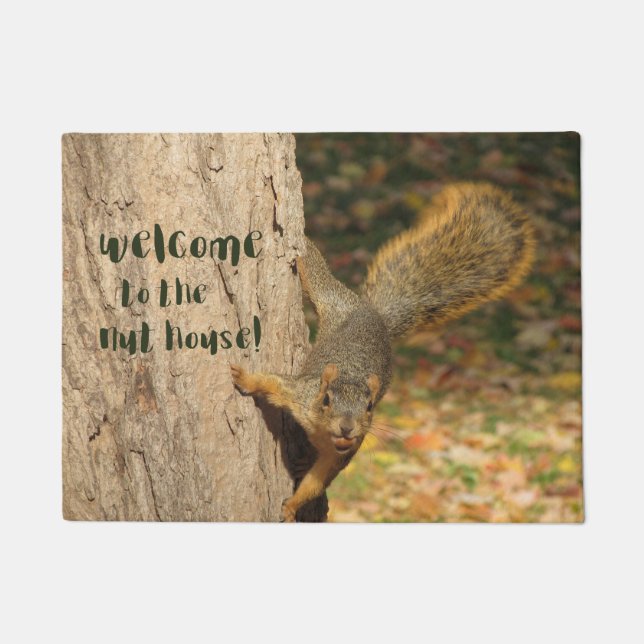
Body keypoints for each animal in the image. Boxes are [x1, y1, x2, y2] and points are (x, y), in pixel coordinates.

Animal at [231, 182, 535, 522]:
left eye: (369, 407)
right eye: (326, 400)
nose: (347, 428)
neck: (323, 432)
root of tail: (375, 315)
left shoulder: (344, 453)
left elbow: (317, 482)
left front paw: (291, 507)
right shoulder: (300, 394)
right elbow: (272, 382)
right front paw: (244, 377)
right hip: (333, 299)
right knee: (315, 272)